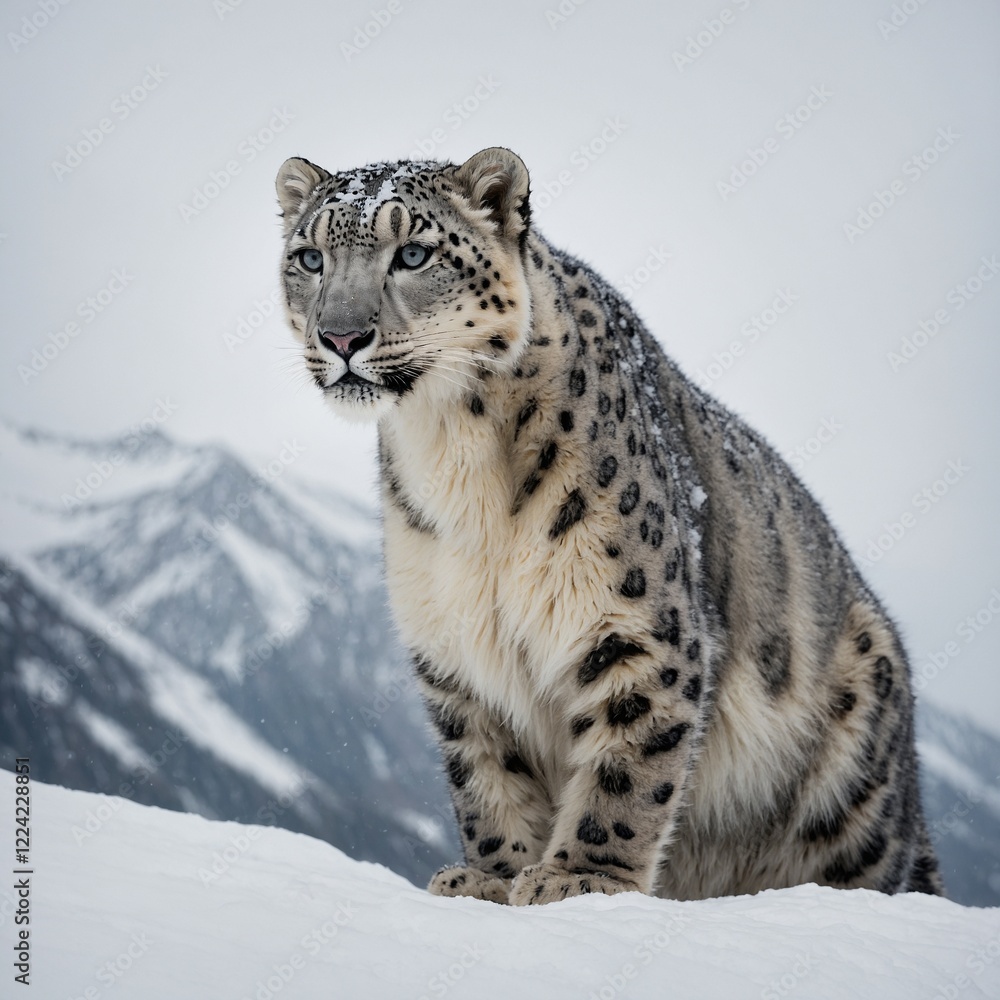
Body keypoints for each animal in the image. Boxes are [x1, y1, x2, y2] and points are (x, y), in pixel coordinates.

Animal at [274, 146, 943, 905]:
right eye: (310, 257)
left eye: (412, 253)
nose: (341, 335)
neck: (451, 453)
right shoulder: (454, 646)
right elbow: (485, 774)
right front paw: (488, 878)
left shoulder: (630, 623)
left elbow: (626, 765)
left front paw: (580, 879)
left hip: (854, 793)